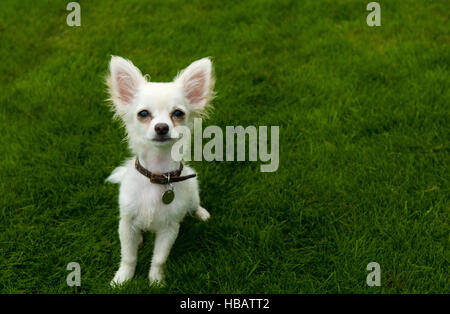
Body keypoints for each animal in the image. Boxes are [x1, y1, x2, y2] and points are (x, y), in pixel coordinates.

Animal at [108, 55, 215, 286]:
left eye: (178, 113)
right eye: (143, 114)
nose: (162, 127)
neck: (157, 174)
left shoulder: (170, 228)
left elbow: (159, 258)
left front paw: (156, 280)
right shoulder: (126, 223)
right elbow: (128, 256)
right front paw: (122, 278)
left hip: (192, 188)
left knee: (194, 204)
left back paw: (201, 213)